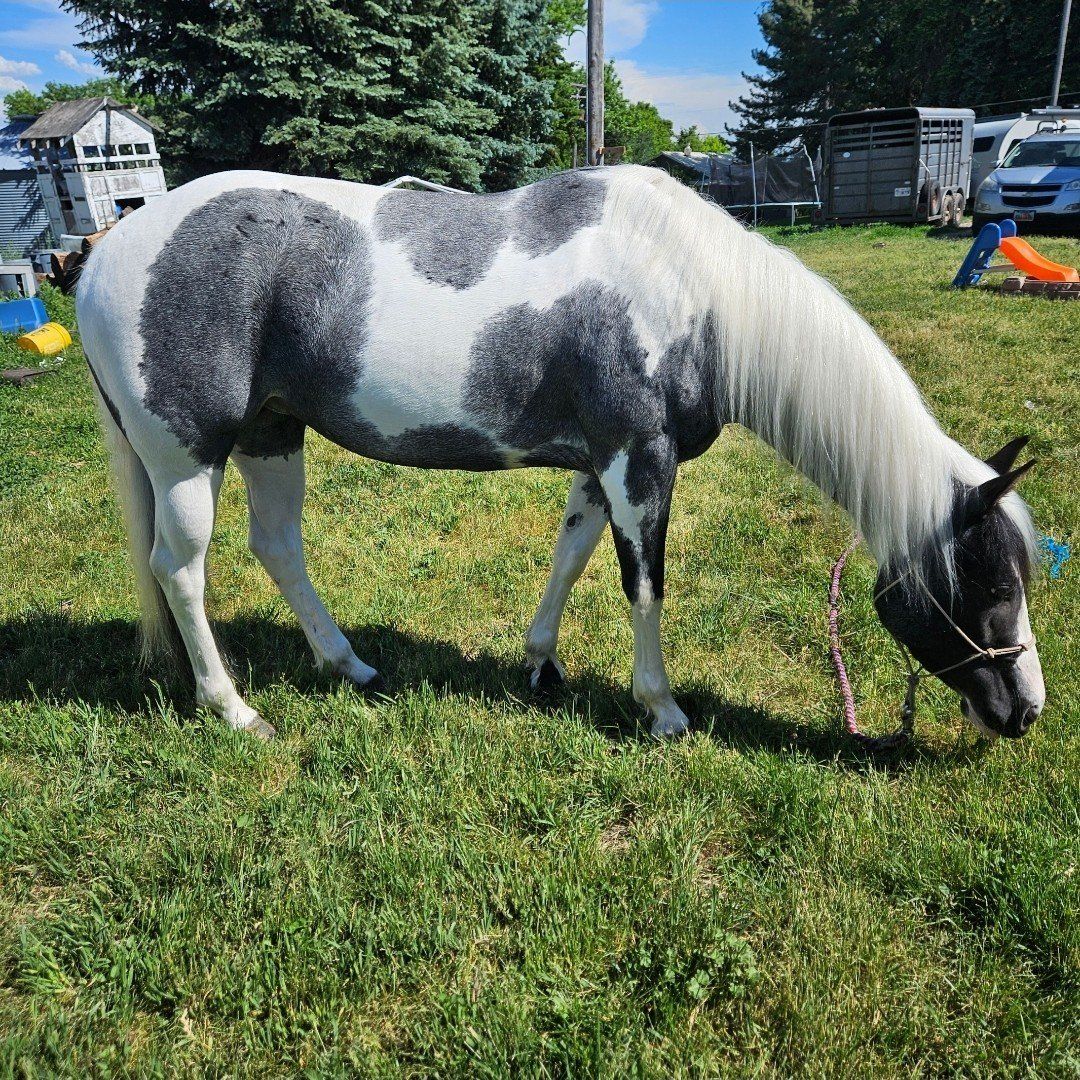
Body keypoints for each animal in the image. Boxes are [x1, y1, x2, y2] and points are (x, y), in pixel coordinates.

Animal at [75, 164, 1045, 741]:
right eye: (989, 580)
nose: (1026, 710)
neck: (695, 292)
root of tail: (100, 256)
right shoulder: (640, 461)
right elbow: (644, 584)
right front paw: (662, 709)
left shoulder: (598, 464)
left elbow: (571, 556)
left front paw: (540, 662)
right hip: (187, 458)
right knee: (181, 571)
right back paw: (233, 708)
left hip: (273, 435)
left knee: (277, 548)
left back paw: (347, 664)